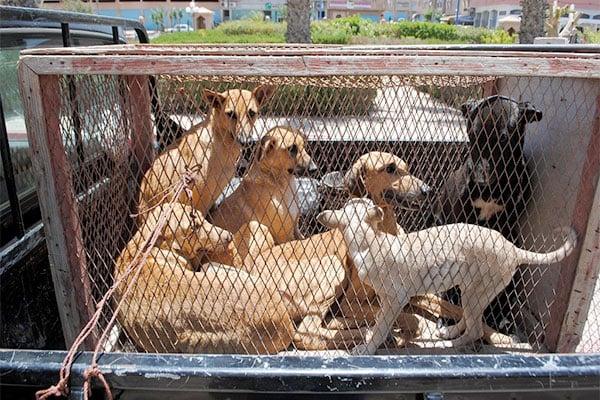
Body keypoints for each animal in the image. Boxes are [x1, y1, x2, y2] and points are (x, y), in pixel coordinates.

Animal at [113, 203, 294, 354]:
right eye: (194, 227)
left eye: (201, 218)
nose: (228, 237)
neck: (141, 252)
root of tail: (286, 323)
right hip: (213, 268)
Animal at [318, 197, 576, 354]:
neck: (369, 239)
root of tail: (512, 248)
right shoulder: (384, 299)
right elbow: (378, 321)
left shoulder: (395, 299)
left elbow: (382, 327)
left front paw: (366, 348)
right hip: (471, 291)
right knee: (472, 321)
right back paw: (449, 331)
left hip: (476, 292)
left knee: (476, 330)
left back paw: (450, 343)